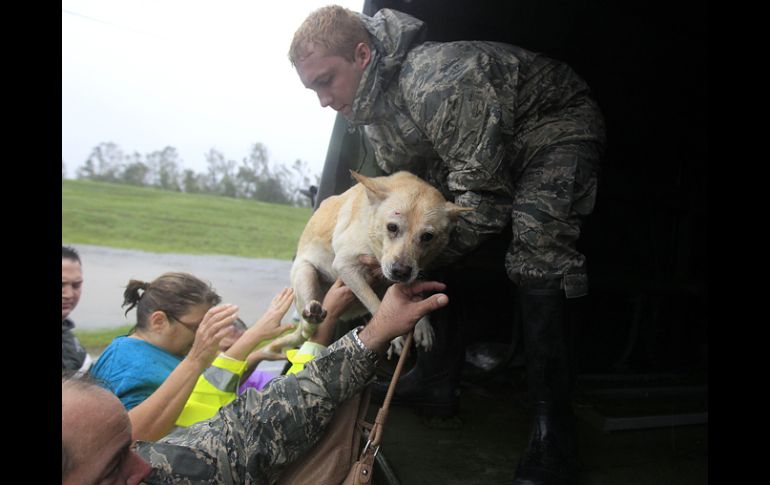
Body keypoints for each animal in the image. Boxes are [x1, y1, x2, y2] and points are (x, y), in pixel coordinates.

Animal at [268, 170, 472, 356]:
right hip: (305, 274)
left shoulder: (417, 270)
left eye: (428, 237)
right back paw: (312, 314)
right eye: (392, 227)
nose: (400, 272)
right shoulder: (345, 265)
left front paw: (423, 325)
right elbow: (375, 303)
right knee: (307, 328)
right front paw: (394, 335)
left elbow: (417, 291)